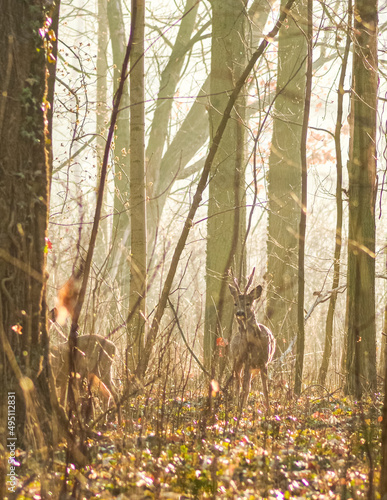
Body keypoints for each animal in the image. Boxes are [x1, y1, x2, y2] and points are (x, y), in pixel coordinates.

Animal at [229, 268, 278, 412]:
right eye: (235, 303)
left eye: (248, 303)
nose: (239, 313)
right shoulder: (247, 360)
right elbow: (244, 387)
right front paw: (240, 409)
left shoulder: (264, 362)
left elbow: (265, 389)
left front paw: (269, 411)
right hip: (236, 360)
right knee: (238, 383)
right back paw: (237, 405)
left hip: (252, 368)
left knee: (246, 384)